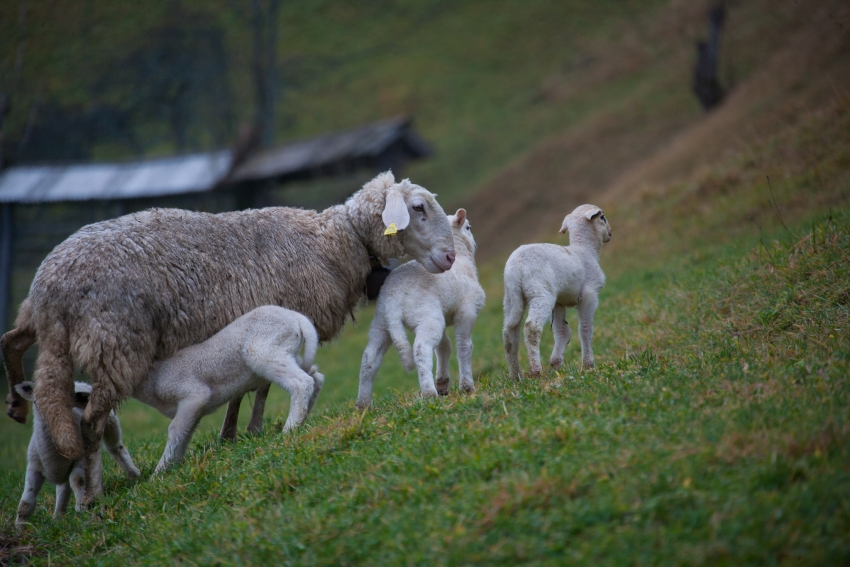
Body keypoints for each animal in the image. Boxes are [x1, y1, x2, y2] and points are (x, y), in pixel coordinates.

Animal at [14, 380, 140, 532]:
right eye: (36, 400)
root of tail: (80, 382)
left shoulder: (80, 458)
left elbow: (77, 480)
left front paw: (81, 507)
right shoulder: (34, 467)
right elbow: (27, 500)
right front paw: (19, 528)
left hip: (110, 422)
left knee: (115, 448)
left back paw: (133, 474)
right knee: (63, 488)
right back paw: (58, 517)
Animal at [132, 306, 324, 474]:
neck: (154, 375)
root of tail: (296, 317)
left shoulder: (194, 394)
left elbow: (175, 429)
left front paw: (158, 473)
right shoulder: (195, 409)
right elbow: (186, 433)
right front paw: (173, 466)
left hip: (265, 352)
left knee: (302, 382)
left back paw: (289, 429)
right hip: (288, 354)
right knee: (316, 376)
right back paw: (303, 419)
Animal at [354, 209, 484, 408]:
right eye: (468, 227)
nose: (476, 243)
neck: (462, 259)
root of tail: (393, 299)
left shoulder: (443, 315)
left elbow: (444, 346)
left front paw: (443, 383)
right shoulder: (466, 310)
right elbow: (463, 346)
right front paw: (466, 387)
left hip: (382, 322)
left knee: (370, 357)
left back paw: (363, 405)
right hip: (426, 315)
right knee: (421, 349)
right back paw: (429, 393)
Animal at [500, 202, 612, 380]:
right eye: (603, 218)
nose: (610, 232)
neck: (584, 250)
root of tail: (515, 267)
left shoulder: (559, 302)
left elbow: (562, 331)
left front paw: (556, 364)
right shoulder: (589, 294)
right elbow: (585, 328)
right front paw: (588, 365)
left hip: (512, 298)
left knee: (510, 332)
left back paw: (516, 376)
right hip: (541, 294)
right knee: (531, 327)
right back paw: (535, 370)